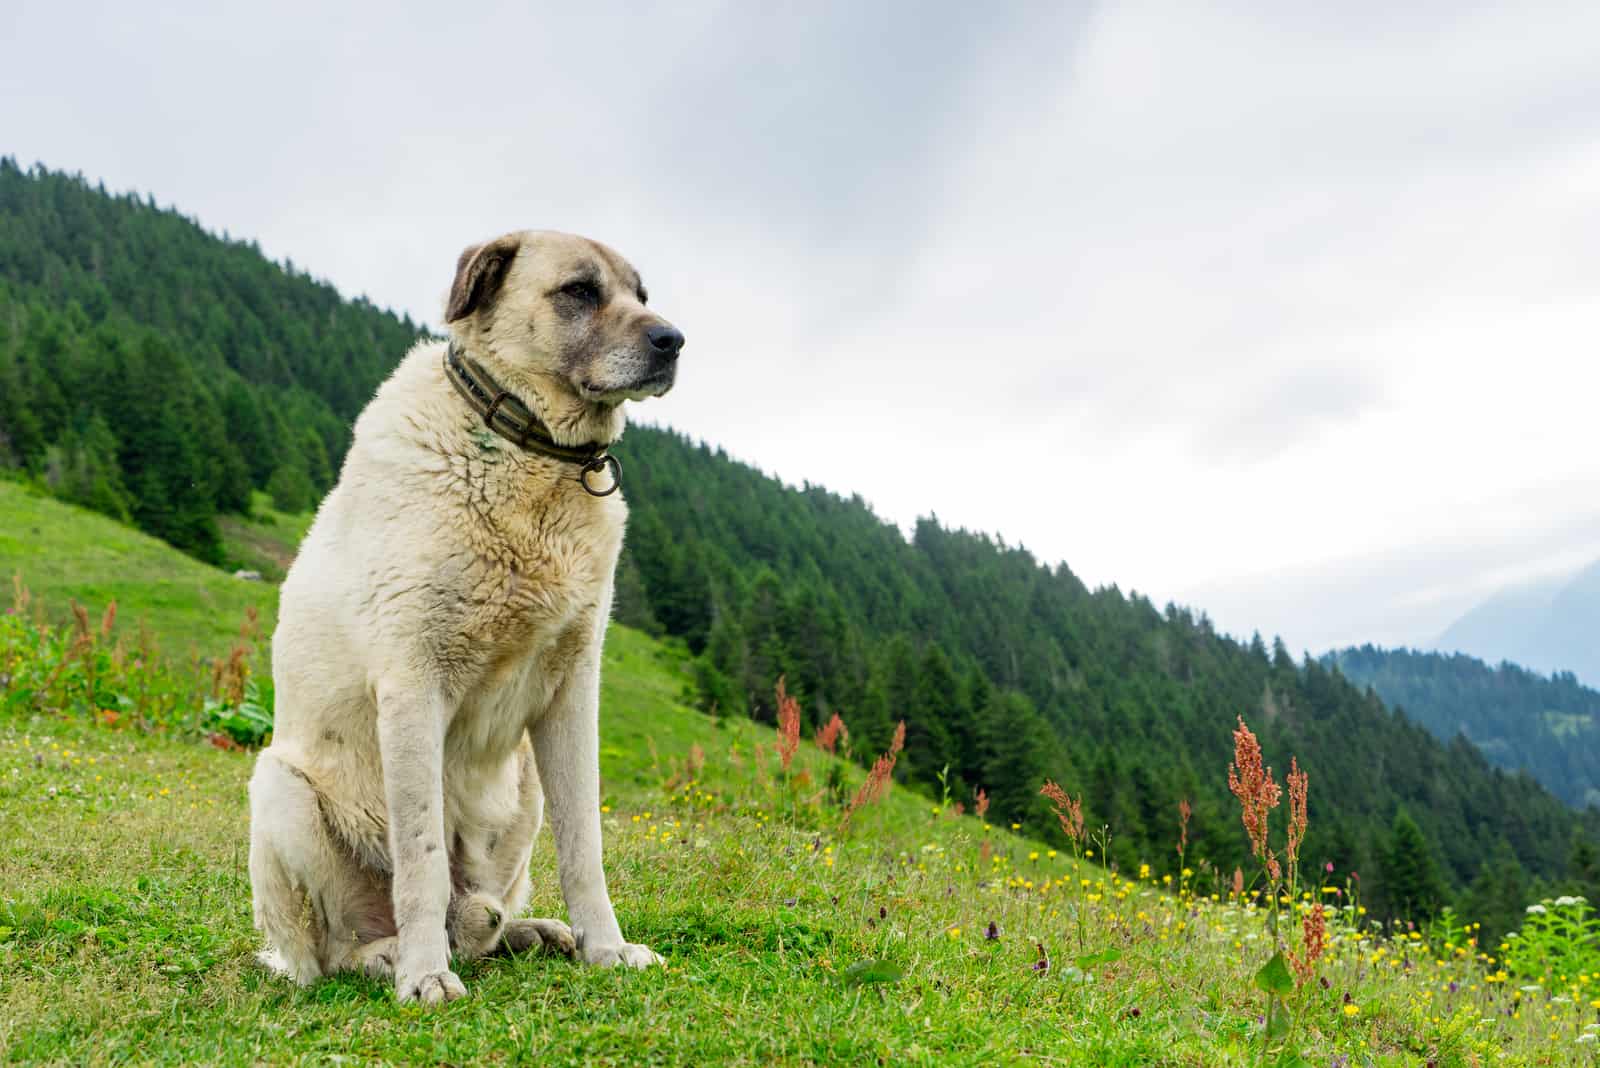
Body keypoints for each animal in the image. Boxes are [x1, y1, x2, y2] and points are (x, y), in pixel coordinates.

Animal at [246, 231, 684, 1004]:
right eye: (579, 291)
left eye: (641, 294)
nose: (674, 341)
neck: (528, 451)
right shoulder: (412, 685)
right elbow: (421, 858)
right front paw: (425, 975)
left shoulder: (573, 691)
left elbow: (585, 846)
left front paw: (607, 949)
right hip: (279, 789)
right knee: (326, 955)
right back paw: (388, 956)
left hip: (524, 791)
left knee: (481, 916)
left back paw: (528, 931)